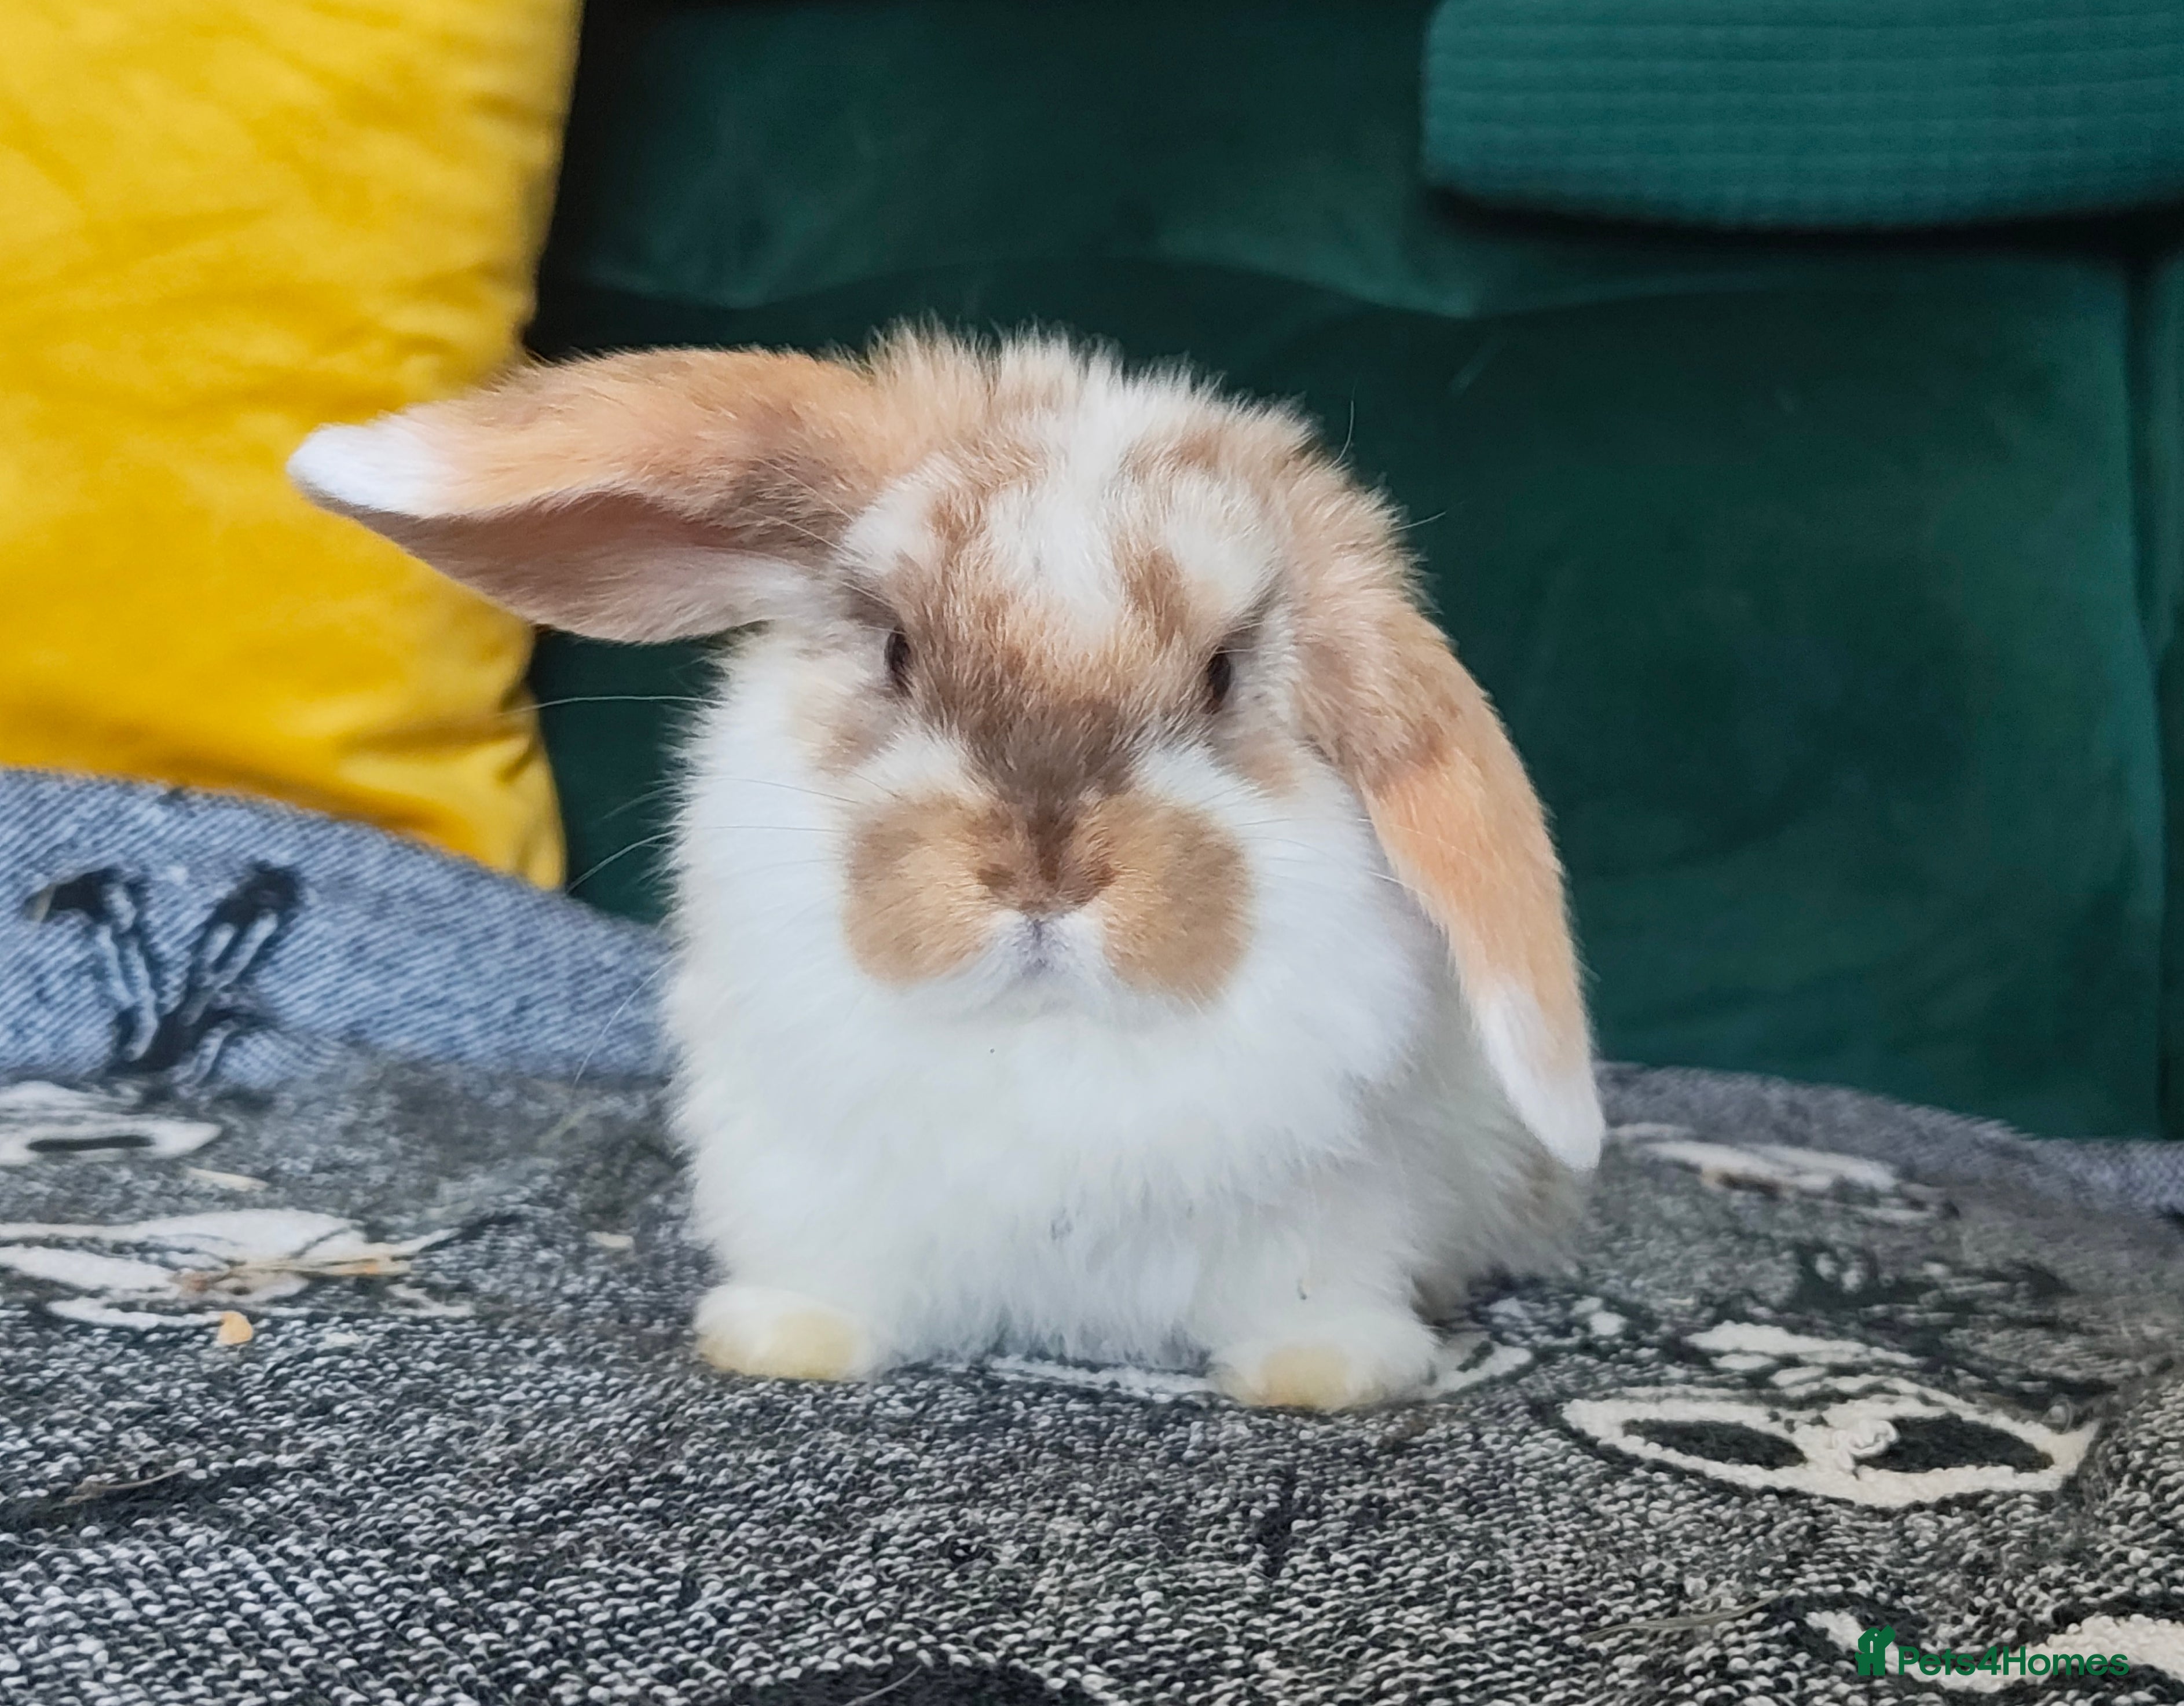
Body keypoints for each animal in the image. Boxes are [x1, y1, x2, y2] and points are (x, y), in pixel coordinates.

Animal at [288, 328, 1603, 1410]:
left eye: (1224, 676)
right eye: (895, 649)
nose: (1039, 875)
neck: (1036, 1035)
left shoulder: (1330, 1213)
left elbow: (1311, 1300)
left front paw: (1328, 1374)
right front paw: (781, 1341)